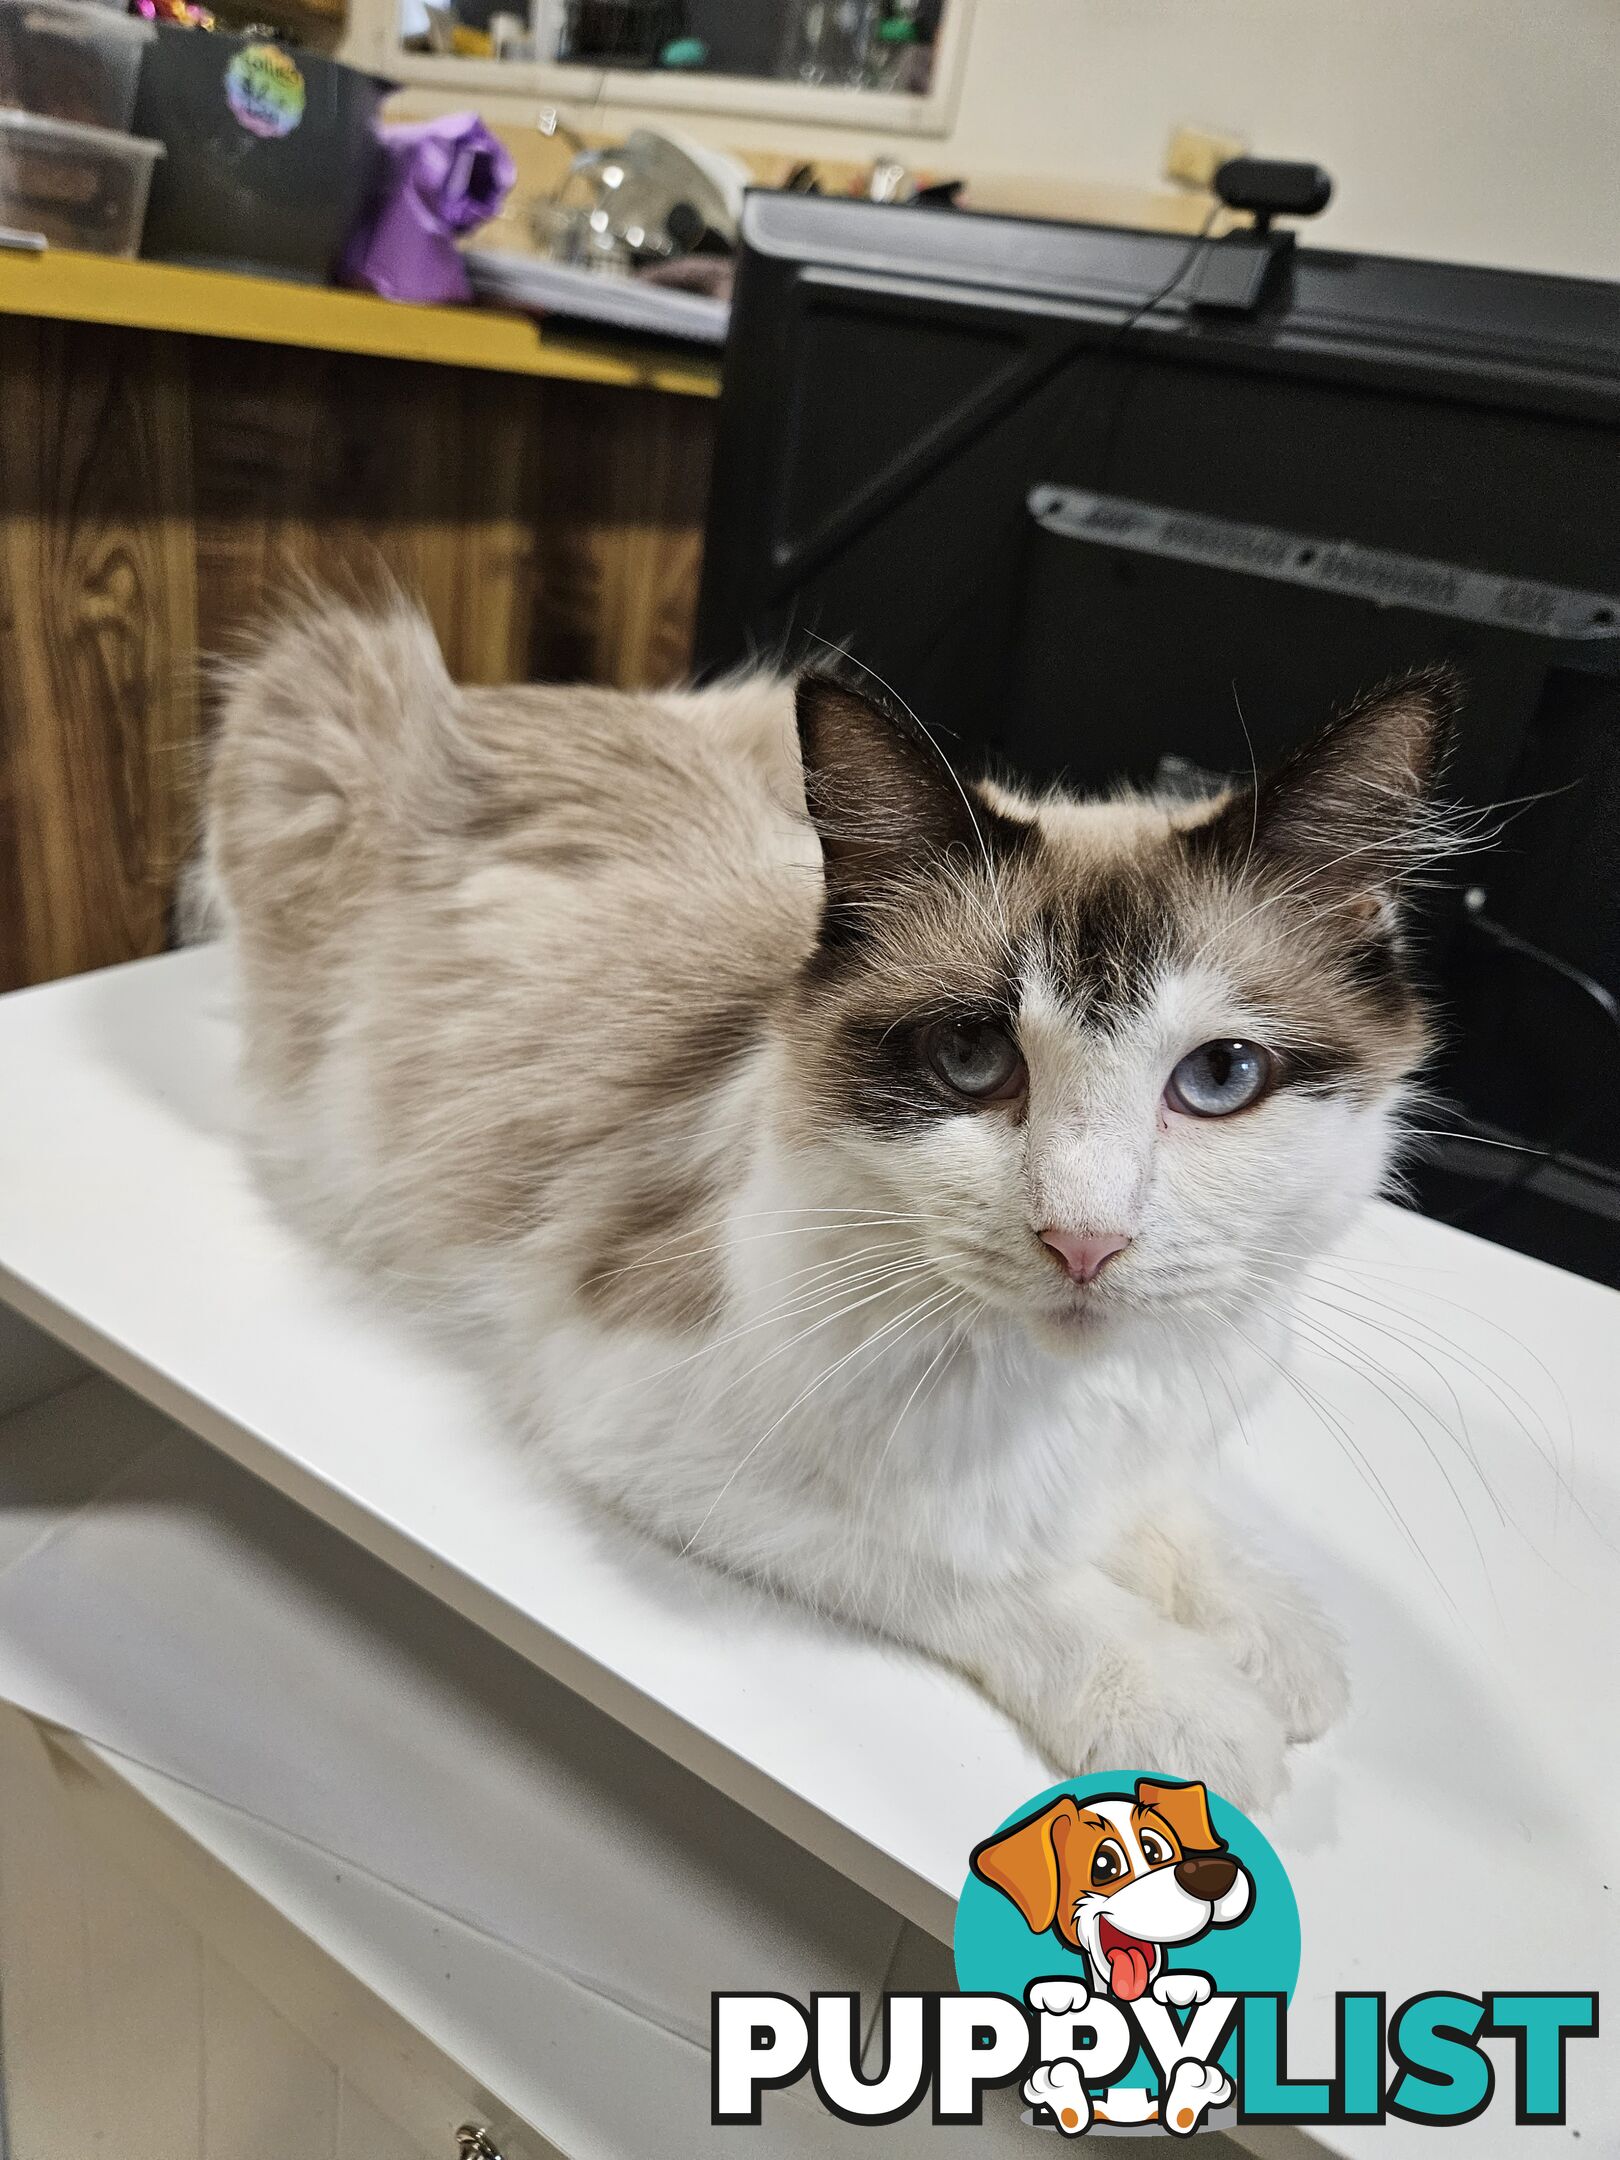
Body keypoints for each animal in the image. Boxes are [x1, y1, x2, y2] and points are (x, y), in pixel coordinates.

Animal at [203, 591, 1460, 1805]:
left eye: (1219, 1077)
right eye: (971, 1058)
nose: (1084, 1243)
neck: (1061, 1385)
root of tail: (499, 686)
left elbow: (1160, 1511)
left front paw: (1266, 1629)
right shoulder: (642, 1422)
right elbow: (992, 1568)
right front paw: (1185, 1703)